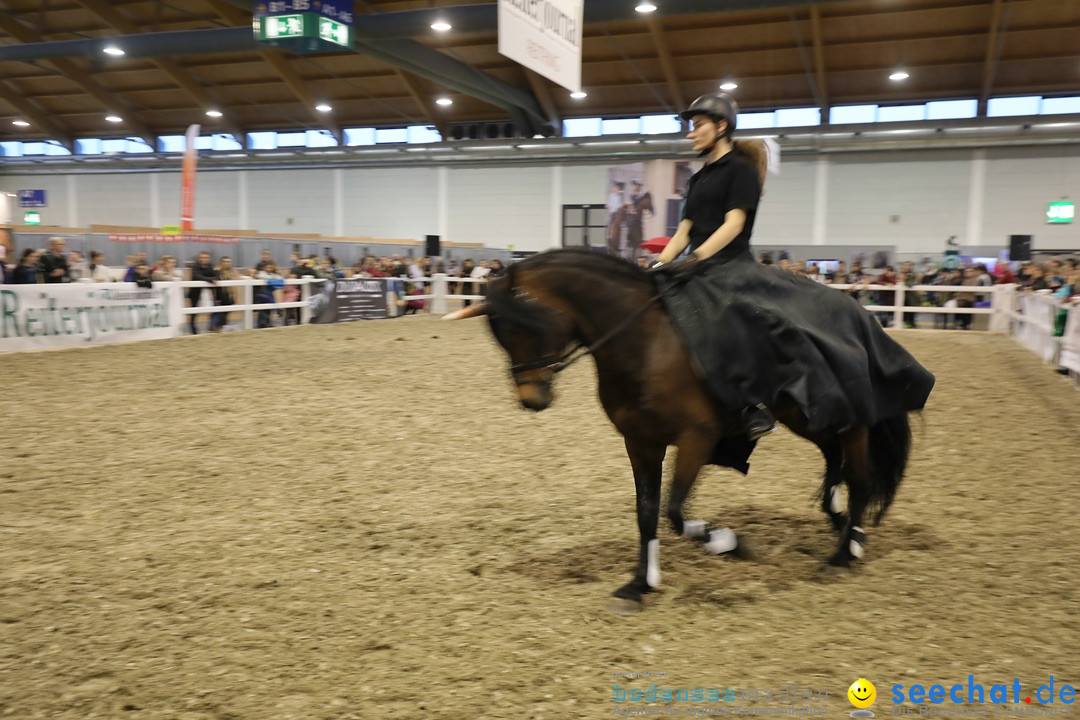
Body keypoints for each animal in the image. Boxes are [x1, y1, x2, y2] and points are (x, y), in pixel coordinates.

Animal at [442, 250, 915, 613]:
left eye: (527, 323)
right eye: (500, 334)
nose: (532, 399)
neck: (643, 343)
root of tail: (857, 310)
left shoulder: (696, 440)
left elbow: (673, 510)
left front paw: (727, 542)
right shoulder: (640, 442)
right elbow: (647, 512)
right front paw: (639, 584)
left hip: (851, 418)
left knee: (859, 476)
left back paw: (844, 552)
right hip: (805, 415)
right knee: (834, 458)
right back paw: (842, 526)